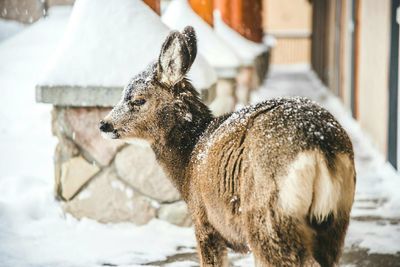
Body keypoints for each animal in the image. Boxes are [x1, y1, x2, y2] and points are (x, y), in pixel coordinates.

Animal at [100, 25, 356, 267]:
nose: (104, 124)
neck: (190, 158)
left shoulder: (204, 220)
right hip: (336, 218)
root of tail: (320, 143)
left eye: (138, 100)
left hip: (268, 216)